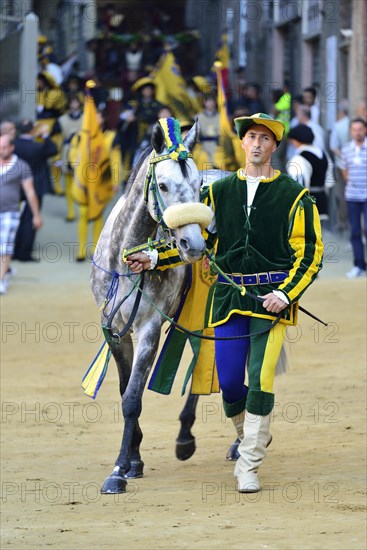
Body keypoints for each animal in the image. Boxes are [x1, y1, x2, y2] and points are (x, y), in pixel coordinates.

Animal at [90, 121, 229, 496]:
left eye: (196, 186)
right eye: (163, 184)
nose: (193, 244)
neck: (125, 258)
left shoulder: (150, 327)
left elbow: (133, 397)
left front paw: (118, 470)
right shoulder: (114, 329)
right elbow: (126, 390)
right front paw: (134, 461)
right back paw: (185, 437)